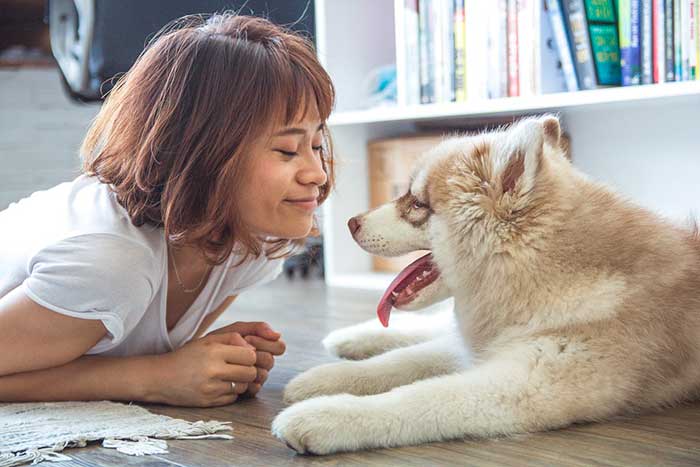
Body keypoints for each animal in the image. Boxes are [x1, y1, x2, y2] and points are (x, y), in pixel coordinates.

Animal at [270, 115, 700, 456]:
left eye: (416, 203)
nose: (350, 223)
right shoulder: (487, 347)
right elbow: (398, 362)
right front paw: (322, 380)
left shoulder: (526, 381)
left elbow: (418, 397)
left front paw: (325, 415)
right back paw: (350, 339)